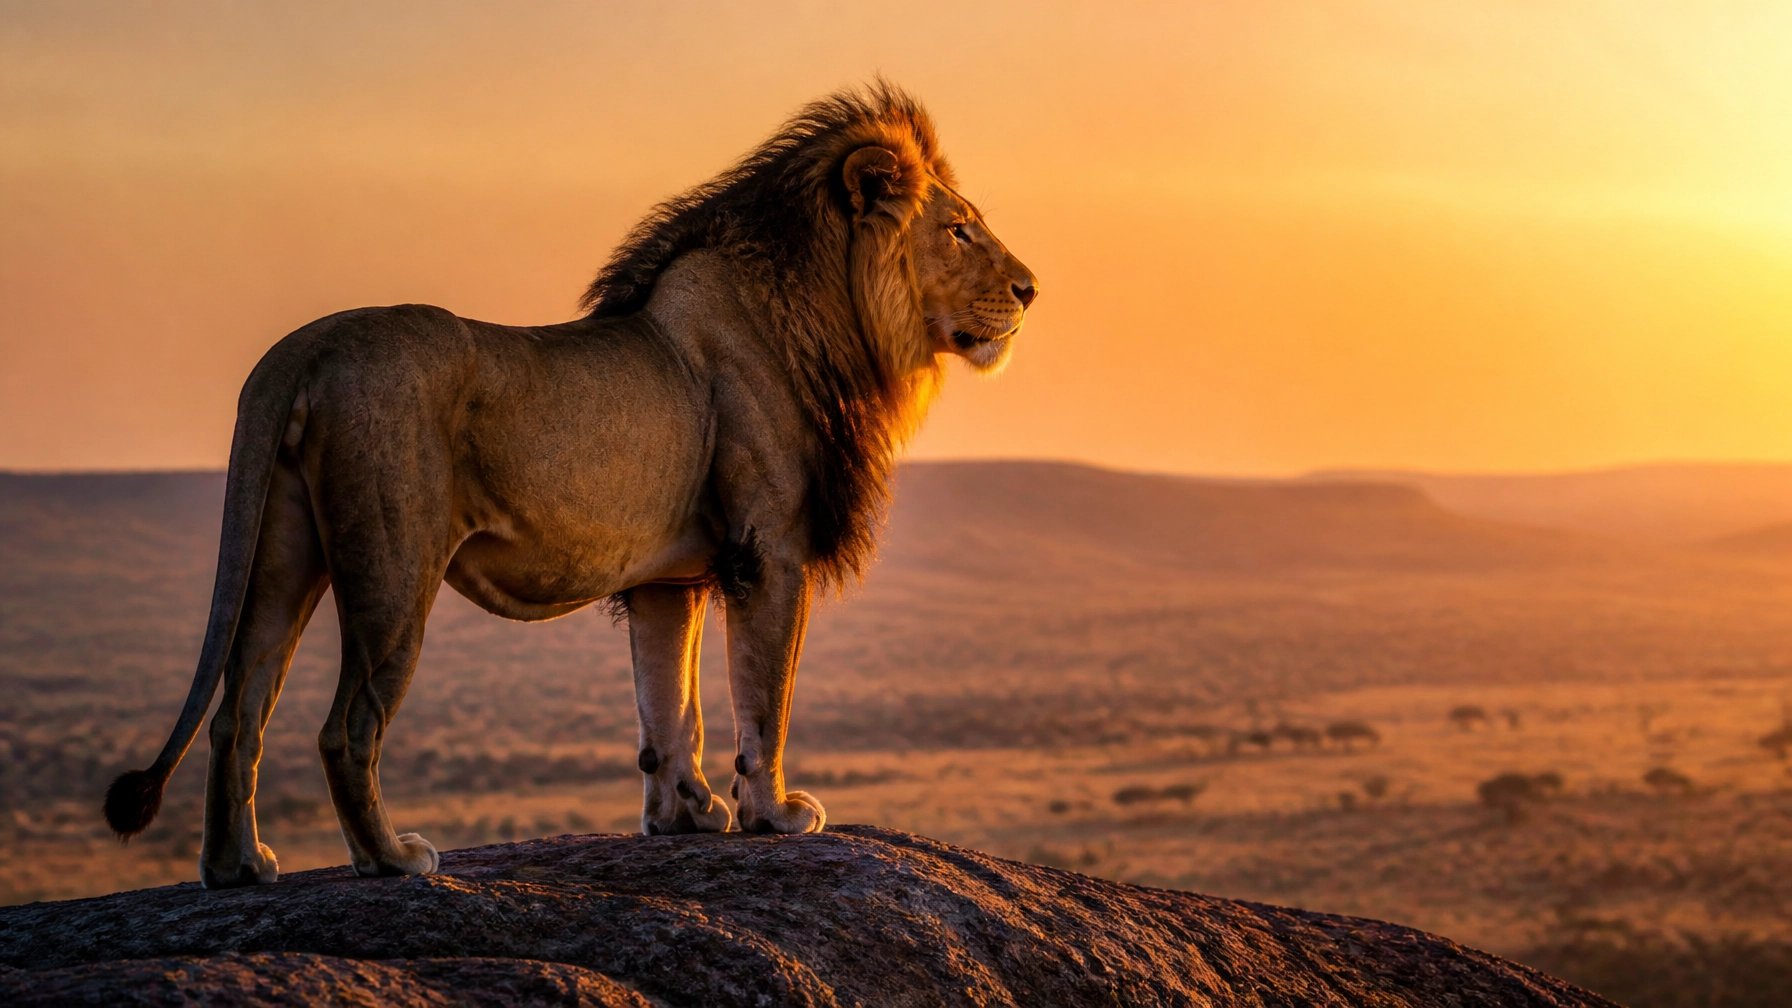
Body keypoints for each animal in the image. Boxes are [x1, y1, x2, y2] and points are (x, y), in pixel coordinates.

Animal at [102, 84, 1037, 887]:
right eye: (960, 230)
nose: (1032, 289)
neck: (825, 315)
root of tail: (302, 350)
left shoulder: (669, 577)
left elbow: (670, 704)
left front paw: (684, 815)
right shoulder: (768, 551)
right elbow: (763, 696)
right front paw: (772, 814)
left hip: (281, 552)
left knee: (238, 712)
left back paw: (237, 867)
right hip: (394, 567)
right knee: (345, 727)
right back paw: (393, 859)